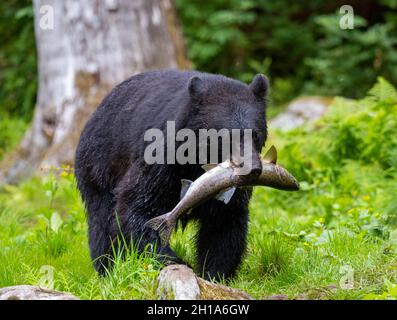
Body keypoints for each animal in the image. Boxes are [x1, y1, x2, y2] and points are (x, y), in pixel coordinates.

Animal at [74, 70, 268, 280]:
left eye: (255, 135)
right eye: (225, 136)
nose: (252, 169)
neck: (198, 159)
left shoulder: (227, 189)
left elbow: (224, 223)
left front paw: (214, 274)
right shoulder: (163, 160)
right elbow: (137, 205)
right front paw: (174, 261)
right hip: (99, 166)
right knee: (102, 223)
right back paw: (108, 268)